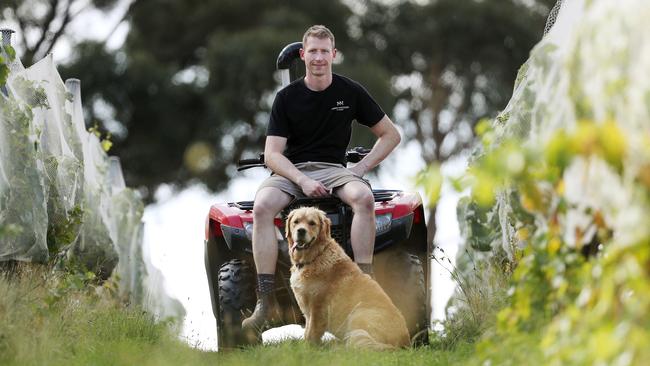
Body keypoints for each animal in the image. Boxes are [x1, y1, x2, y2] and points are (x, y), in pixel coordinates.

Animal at [284, 206, 408, 348]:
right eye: (296, 222)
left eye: (312, 223)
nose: (301, 231)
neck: (315, 257)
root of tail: (405, 343)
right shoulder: (308, 311)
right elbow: (307, 332)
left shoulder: (318, 307)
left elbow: (312, 333)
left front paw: (308, 348)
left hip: (358, 313)